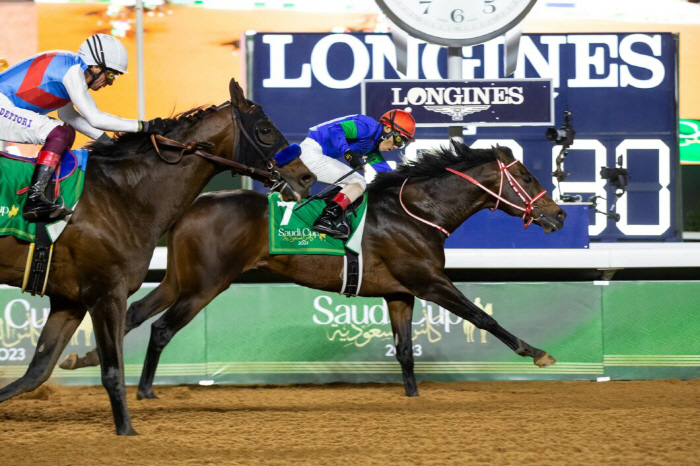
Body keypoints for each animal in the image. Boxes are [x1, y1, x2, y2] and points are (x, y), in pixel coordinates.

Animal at [0, 78, 314, 436]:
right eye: (264, 129)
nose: (306, 177)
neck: (122, 194)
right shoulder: (106, 293)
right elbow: (113, 370)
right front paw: (127, 431)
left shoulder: (70, 300)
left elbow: (36, 371)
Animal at [64, 143, 568, 400]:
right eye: (526, 176)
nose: (559, 215)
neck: (416, 213)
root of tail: (194, 204)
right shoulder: (428, 281)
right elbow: (483, 317)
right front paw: (538, 353)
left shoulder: (399, 293)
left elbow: (406, 350)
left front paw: (411, 396)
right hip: (207, 283)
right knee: (162, 328)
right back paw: (146, 390)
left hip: (179, 279)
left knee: (135, 314)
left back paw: (83, 359)